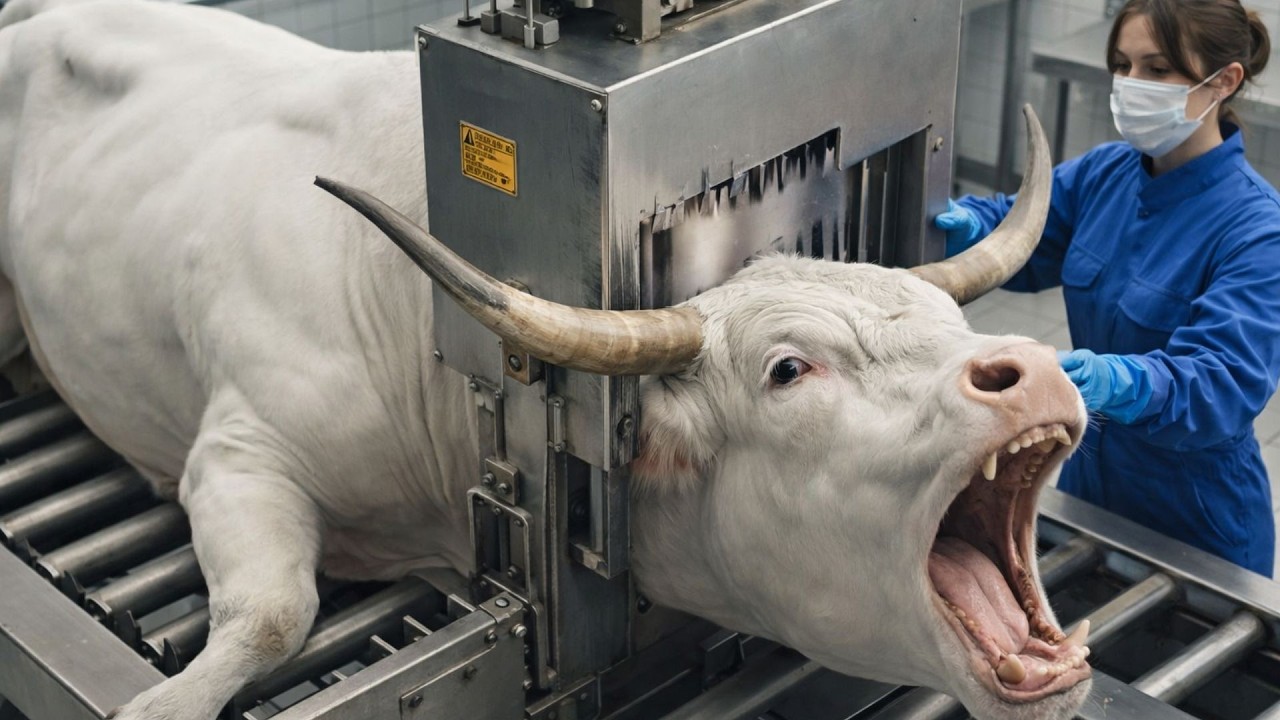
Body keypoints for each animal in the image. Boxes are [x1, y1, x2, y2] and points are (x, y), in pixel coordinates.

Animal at [0, 0, 1093, 718]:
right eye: (789, 370)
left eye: (948, 321)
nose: (1029, 372)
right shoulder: (239, 446)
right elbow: (274, 611)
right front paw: (163, 705)